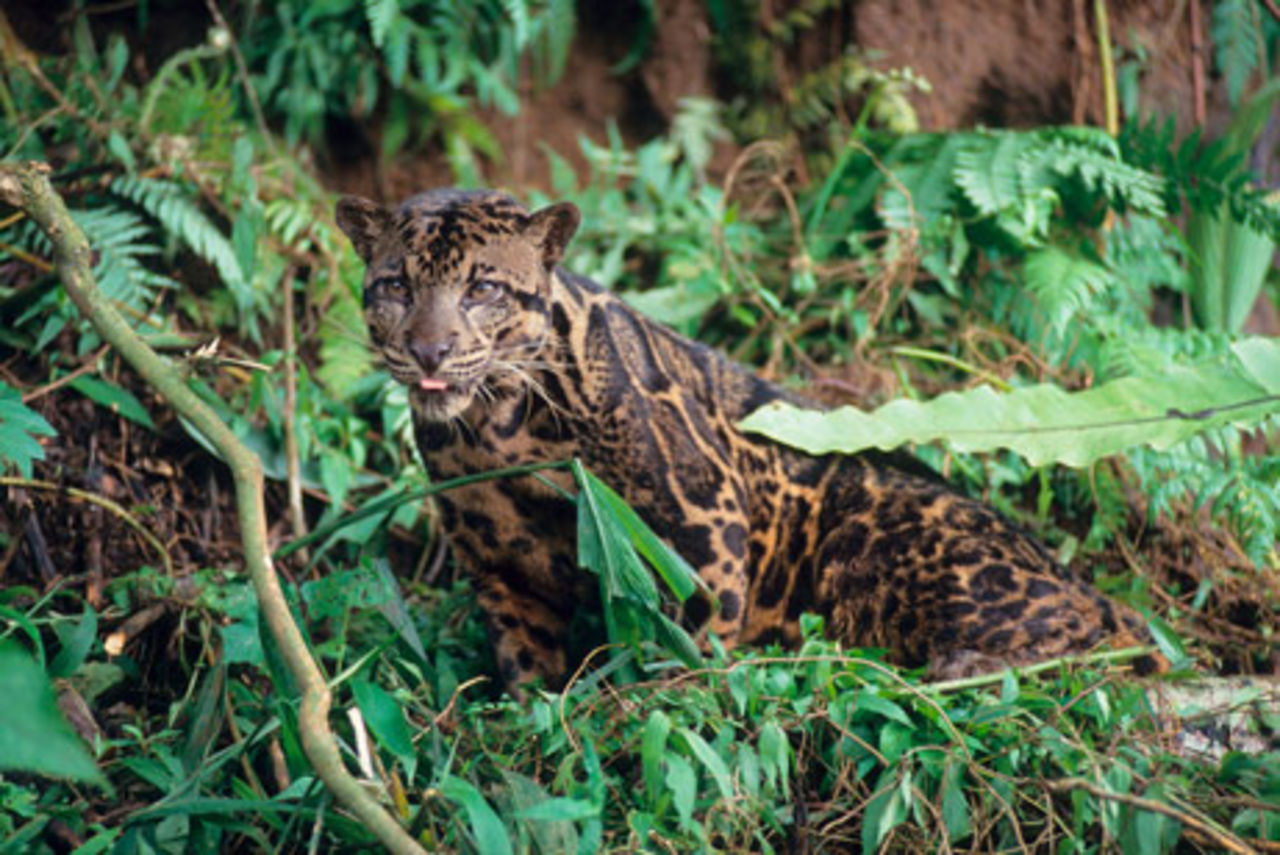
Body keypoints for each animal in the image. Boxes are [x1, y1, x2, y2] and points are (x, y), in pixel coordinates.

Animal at [336, 187, 1158, 692]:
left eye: (482, 288)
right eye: (397, 286)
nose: (431, 351)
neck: (492, 431)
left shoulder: (701, 520)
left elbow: (686, 637)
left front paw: (648, 704)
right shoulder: (500, 566)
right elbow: (524, 663)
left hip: (875, 535)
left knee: (1106, 636)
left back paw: (963, 663)